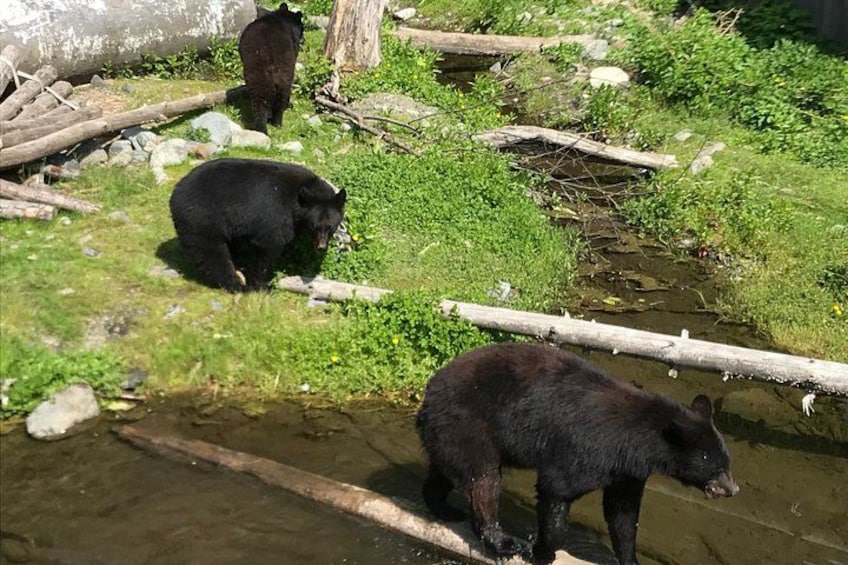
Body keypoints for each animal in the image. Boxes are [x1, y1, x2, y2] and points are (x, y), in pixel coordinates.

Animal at [169, 158, 346, 292]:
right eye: (315, 226)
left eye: (330, 227)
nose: (321, 247)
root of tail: (174, 196)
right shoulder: (275, 215)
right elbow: (268, 246)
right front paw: (262, 285)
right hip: (203, 220)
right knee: (212, 254)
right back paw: (235, 285)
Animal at [238, 3, 304, 134]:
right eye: (302, 29)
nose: (303, 39)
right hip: (285, 74)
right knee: (281, 97)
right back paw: (277, 121)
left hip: (257, 75)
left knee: (260, 101)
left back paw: (262, 127)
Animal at [416, 342, 739, 565]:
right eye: (715, 464)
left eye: (727, 462)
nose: (732, 488)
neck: (636, 442)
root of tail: (429, 390)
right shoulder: (584, 449)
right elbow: (558, 489)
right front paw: (541, 550)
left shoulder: (627, 472)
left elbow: (623, 514)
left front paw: (630, 558)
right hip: (469, 423)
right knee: (483, 481)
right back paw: (503, 541)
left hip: (449, 434)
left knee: (447, 473)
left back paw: (443, 507)